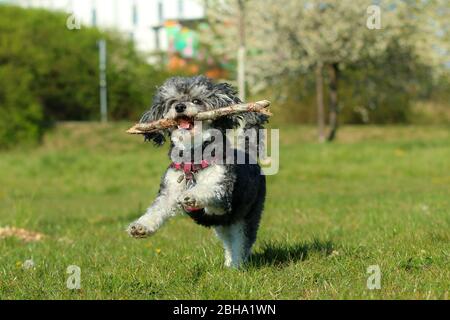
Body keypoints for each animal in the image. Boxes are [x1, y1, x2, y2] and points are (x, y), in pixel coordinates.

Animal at [126, 75, 268, 268]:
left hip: (247, 215)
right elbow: (157, 209)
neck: (192, 159)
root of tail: (249, 154)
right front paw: (140, 227)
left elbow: (207, 190)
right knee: (229, 243)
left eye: (196, 101)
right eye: (173, 102)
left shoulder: (222, 196)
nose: (180, 107)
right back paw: (229, 265)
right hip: (223, 225)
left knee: (242, 242)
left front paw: (191, 196)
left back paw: (237, 265)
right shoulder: (170, 189)